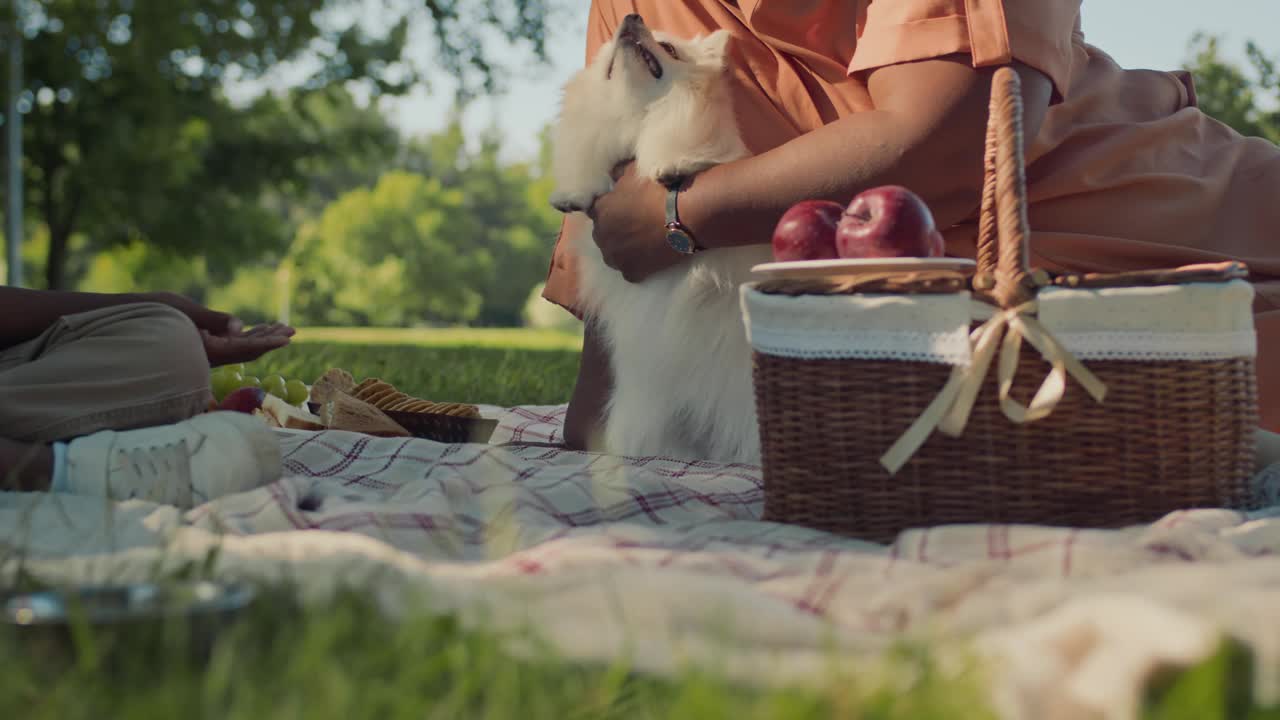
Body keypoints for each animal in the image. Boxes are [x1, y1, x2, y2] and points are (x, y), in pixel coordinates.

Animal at [550, 14, 768, 461]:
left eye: (668, 49)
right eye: (607, 60)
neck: (637, 127)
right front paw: (575, 194)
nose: (631, 18)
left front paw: (674, 164)